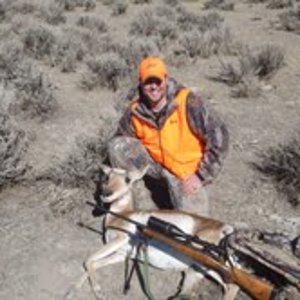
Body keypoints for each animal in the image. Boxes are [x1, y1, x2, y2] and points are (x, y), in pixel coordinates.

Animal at [77, 165, 239, 298]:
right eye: (107, 176)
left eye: (127, 179)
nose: (106, 193)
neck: (122, 214)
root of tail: (223, 227)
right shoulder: (122, 254)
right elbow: (93, 264)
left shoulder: (120, 239)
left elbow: (88, 259)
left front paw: (98, 291)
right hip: (205, 268)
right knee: (231, 283)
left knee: (231, 285)